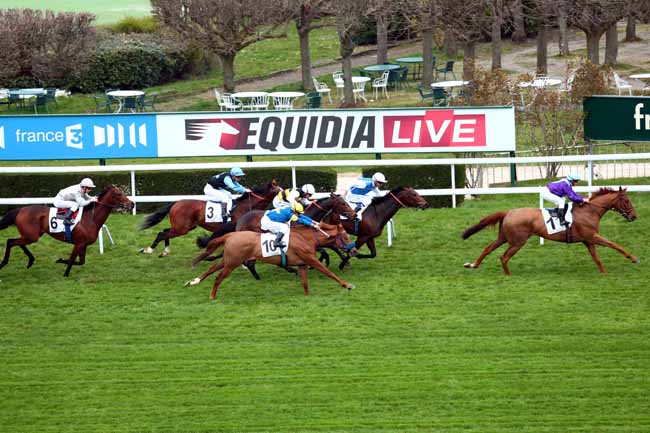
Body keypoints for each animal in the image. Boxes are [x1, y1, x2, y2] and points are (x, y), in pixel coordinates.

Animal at [0, 184, 133, 276]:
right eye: (118, 194)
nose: (132, 204)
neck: (90, 218)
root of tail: (20, 209)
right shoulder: (79, 243)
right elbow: (73, 259)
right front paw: (65, 273)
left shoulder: (83, 245)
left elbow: (80, 262)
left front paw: (60, 260)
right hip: (31, 236)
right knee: (10, 241)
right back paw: (4, 262)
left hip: (31, 235)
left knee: (16, 242)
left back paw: (30, 261)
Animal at [138, 180, 278, 255]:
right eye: (278, 190)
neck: (244, 205)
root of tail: (176, 202)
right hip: (182, 228)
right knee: (162, 233)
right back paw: (149, 250)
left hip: (184, 227)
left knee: (165, 231)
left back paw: (165, 251)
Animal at [182, 223, 354, 296]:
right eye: (345, 236)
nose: (354, 250)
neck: (306, 238)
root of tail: (230, 235)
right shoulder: (310, 260)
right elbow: (328, 272)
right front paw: (347, 285)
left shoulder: (302, 264)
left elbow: (305, 283)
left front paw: (307, 296)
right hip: (232, 263)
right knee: (218, 277)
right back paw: (212, 296)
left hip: (227, 260)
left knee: (211, 269)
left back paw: (193, 282)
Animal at [460, 186, 636, 274]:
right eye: (627, 201)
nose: (634, 216)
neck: (589, 211)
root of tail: (508, 212)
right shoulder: (592, 236)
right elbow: (614, 244)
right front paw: (633, 258)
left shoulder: (588, 240)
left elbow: (597, 258)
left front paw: (604, 273)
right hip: (517, 241)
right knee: (504, 257)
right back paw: (508, 276)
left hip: (503, 237)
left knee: (488, 248)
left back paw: (473, 265)